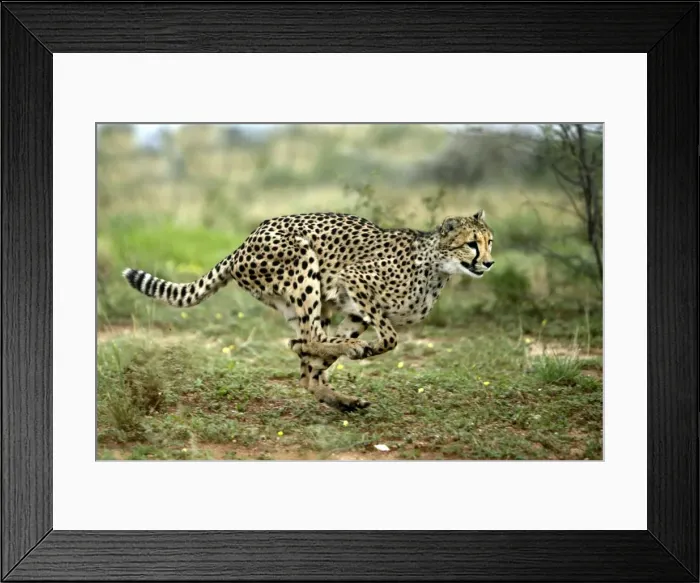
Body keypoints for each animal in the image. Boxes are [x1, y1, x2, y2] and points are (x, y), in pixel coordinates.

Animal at [122, 210, 495, 412]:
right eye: (471, 244)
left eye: (490, 242)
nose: (489, 263)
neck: (438, 265)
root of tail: (244, 242)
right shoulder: (354, 279)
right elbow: (390, 337)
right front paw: (364, 348)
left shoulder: (356, 310)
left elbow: (376, 337)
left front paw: (358, 352)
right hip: (303, 266)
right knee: (308, 339)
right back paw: (346, 355)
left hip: (311, 302)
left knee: (305, 358)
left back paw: (342, 397)